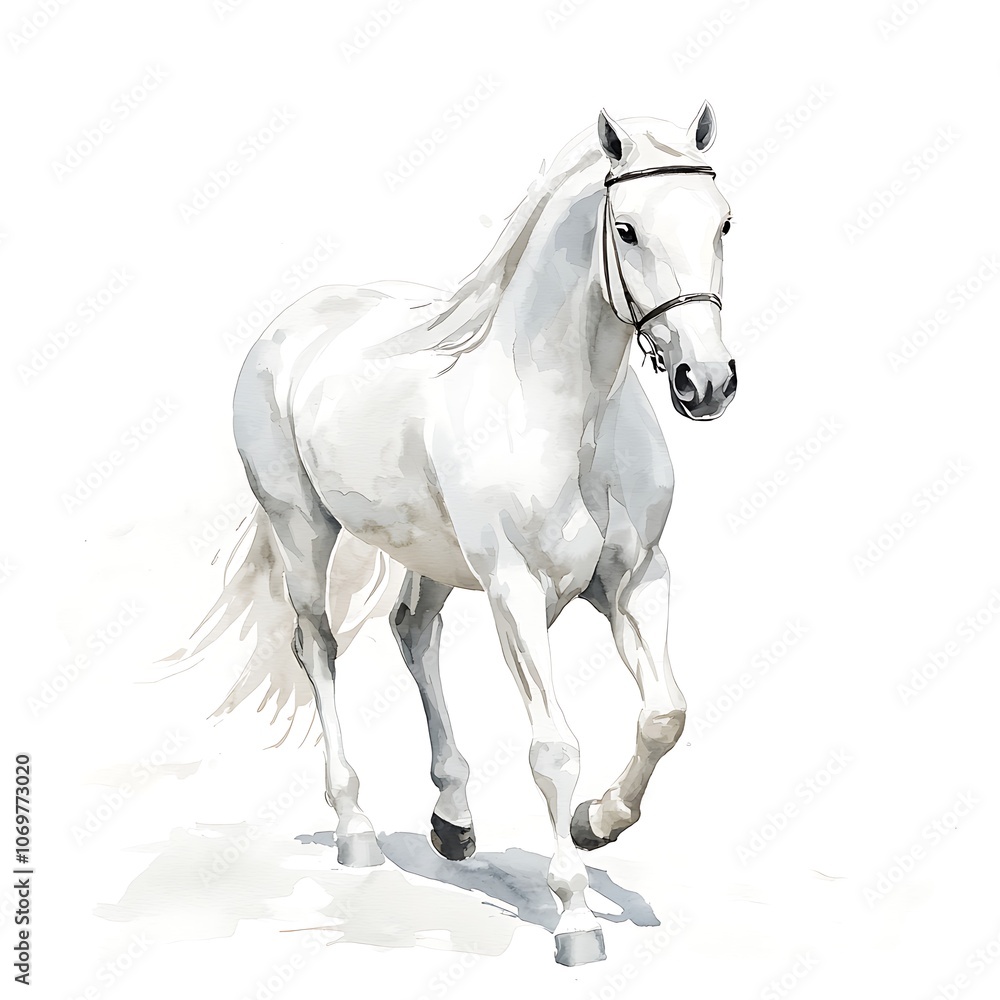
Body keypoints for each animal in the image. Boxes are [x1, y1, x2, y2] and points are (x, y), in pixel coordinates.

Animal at [184, 105, 737, 967]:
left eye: (723, 221)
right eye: (627, 229)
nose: (705, 383)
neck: (565, 415)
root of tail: (293, 323)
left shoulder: (637, 579)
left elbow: (665, 715)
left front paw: (598, 823)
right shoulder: (516, 591)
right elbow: (554, 750)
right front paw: (576, 920)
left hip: (431, 555)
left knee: (412, 631)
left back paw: (453, 822)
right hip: (301, 526)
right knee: (318, 646)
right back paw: (355, 828)